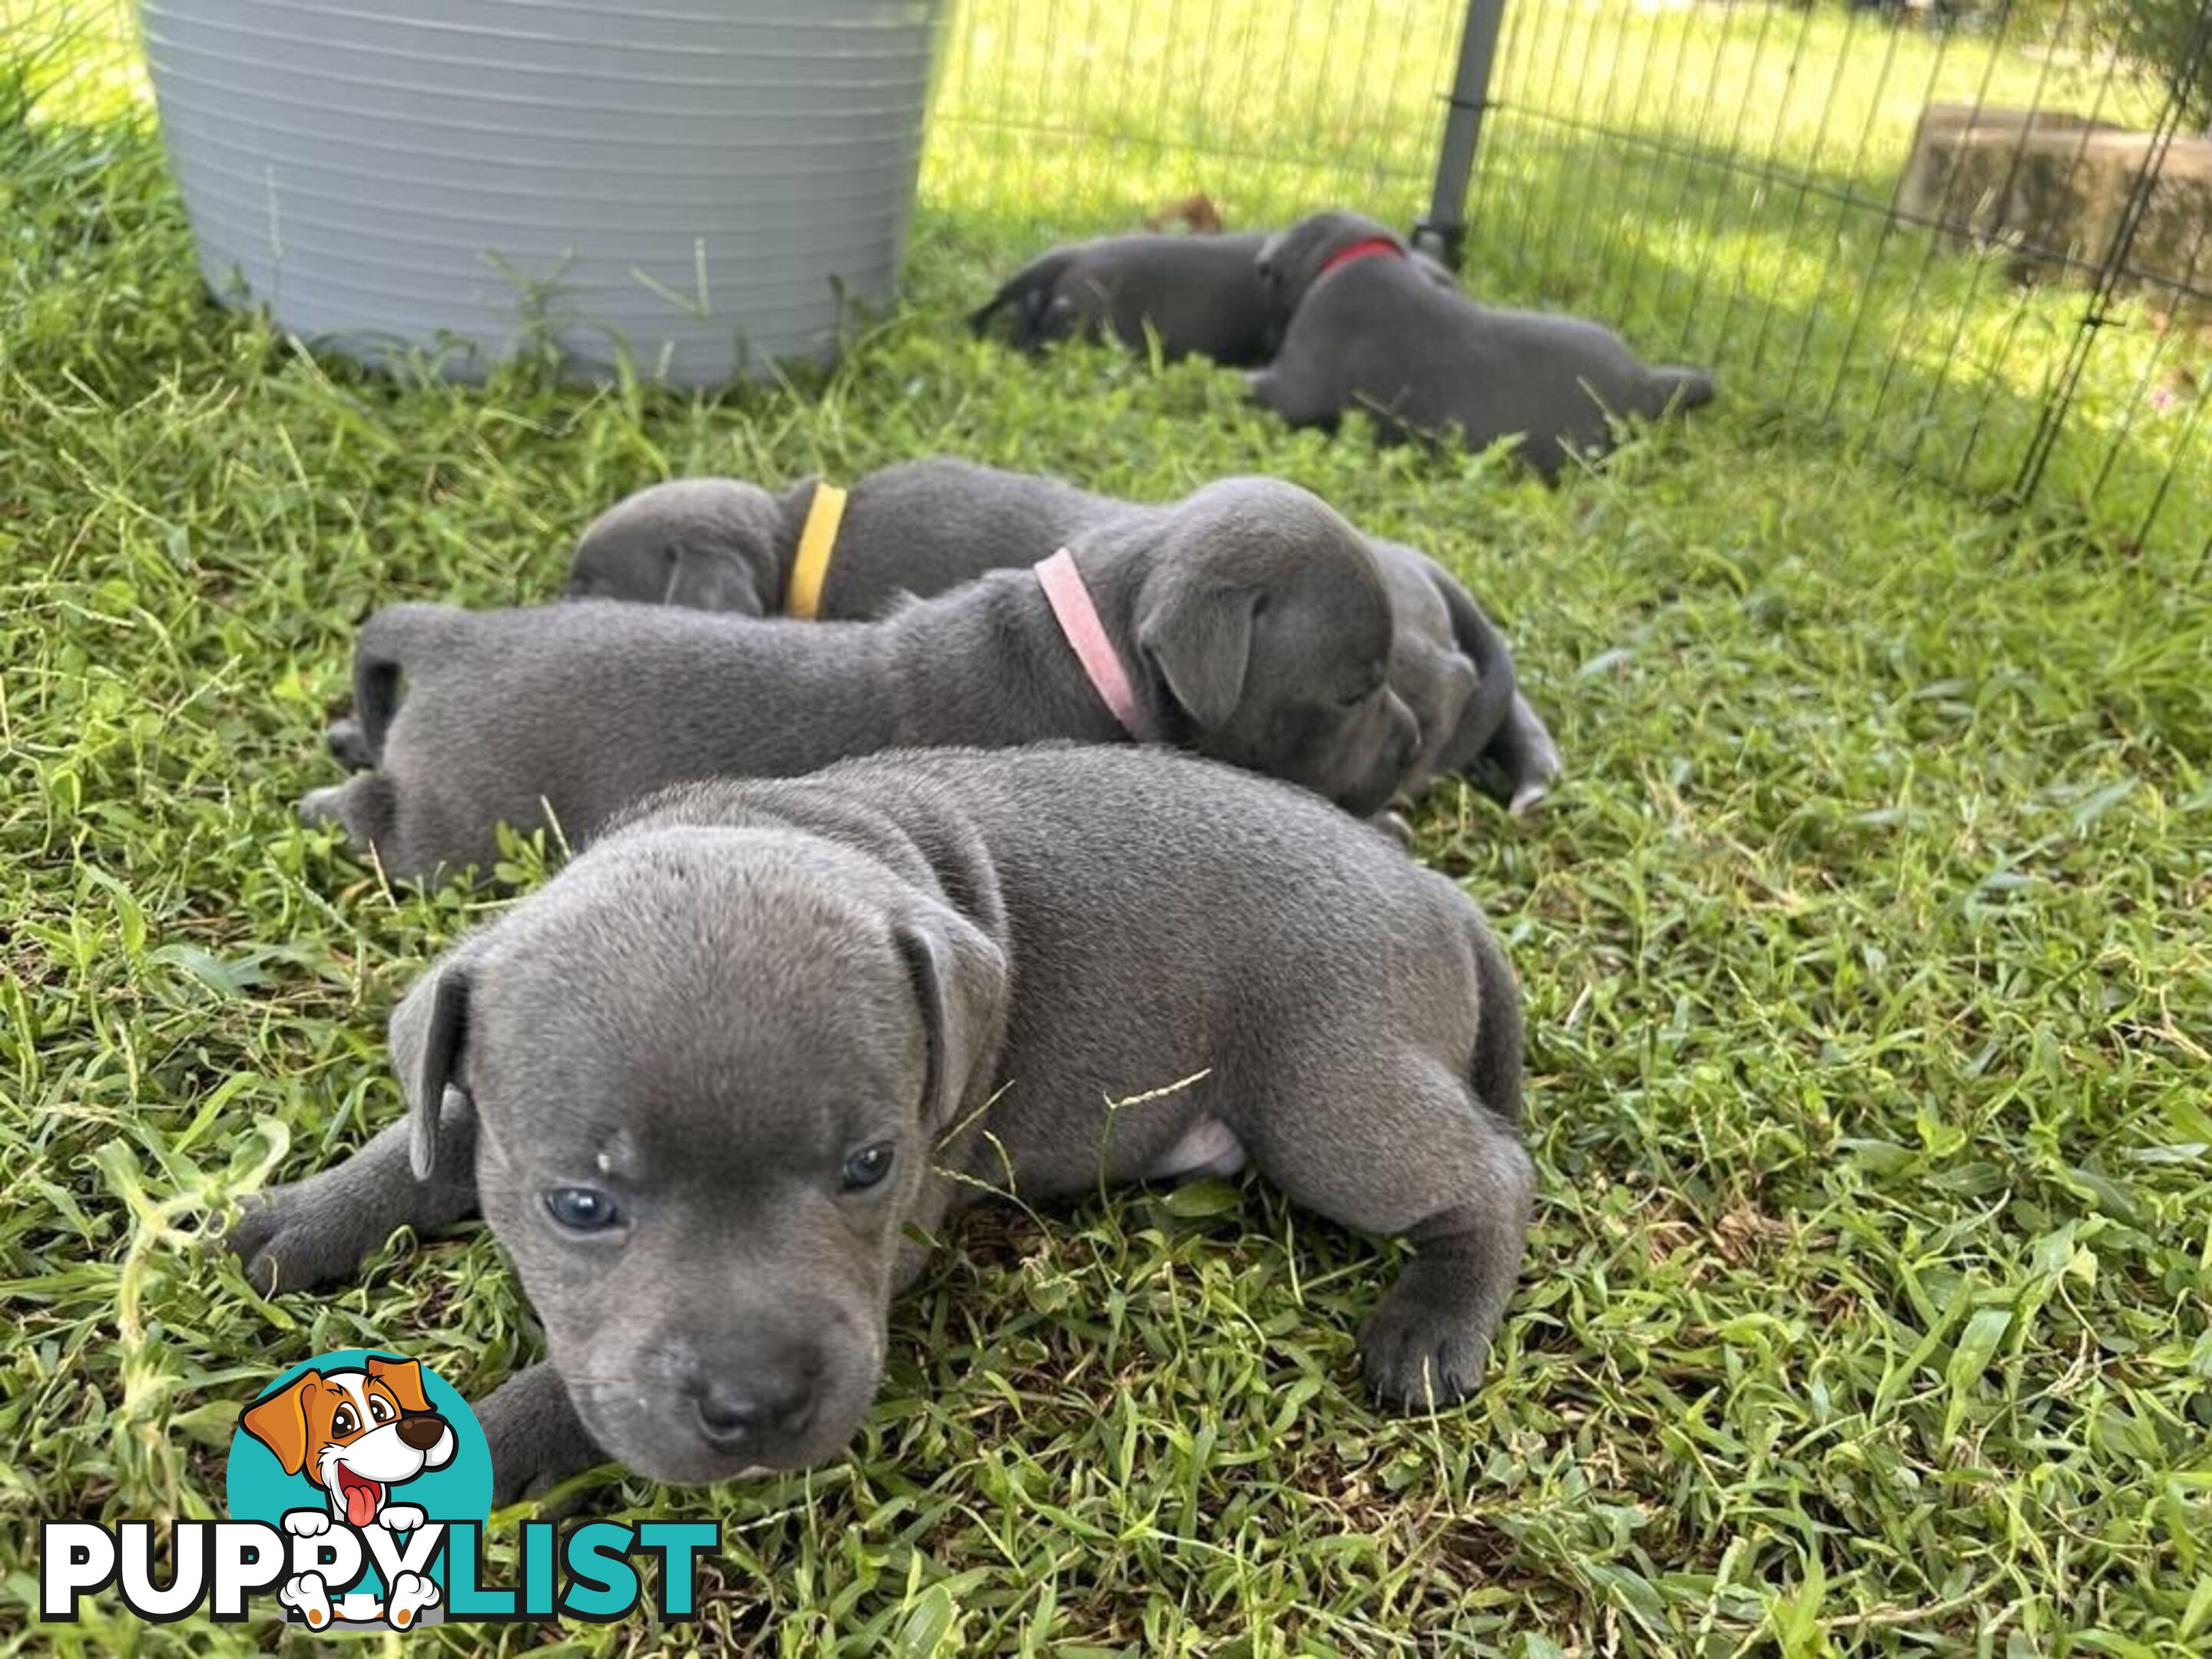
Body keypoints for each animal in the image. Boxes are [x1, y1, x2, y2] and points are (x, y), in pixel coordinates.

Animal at [229, 747, 1539, 1504]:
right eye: (581, 1206)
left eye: (870, 1167)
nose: (755, 1406)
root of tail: (1441, 895)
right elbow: (432, 1142)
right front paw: (302, 1220)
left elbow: (566, 1386)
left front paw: (475, 1451)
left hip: (1328, 1095)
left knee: (1492, 1171)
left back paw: (1432, 1325)